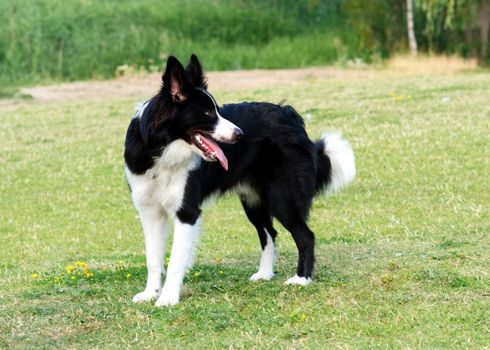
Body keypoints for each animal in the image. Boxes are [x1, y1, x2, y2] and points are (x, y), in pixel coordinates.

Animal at [124, 54, 354, 306]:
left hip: (281, 197)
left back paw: (301, 279)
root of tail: (290, 117)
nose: (239, 134)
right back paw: (265, 274)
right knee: (269, 234)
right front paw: (150, 293)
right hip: (253, 200)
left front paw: (167, 298)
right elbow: (153, 258)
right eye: (208, 113)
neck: (162, 151)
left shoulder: (186, 212)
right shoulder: (149, 211)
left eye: (217, 110)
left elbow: (175, 260)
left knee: (306, 236)